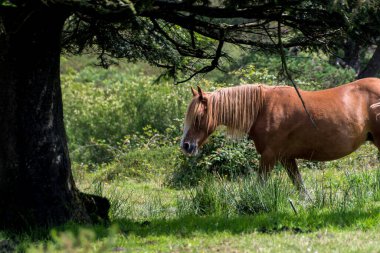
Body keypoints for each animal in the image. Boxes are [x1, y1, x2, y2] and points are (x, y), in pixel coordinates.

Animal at [180, 78, 380, 193]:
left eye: (198, 116)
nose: (186, 145)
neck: (262, 107)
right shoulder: (286, 158)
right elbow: (300, 186)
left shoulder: (269, 156)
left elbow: (261, 185)